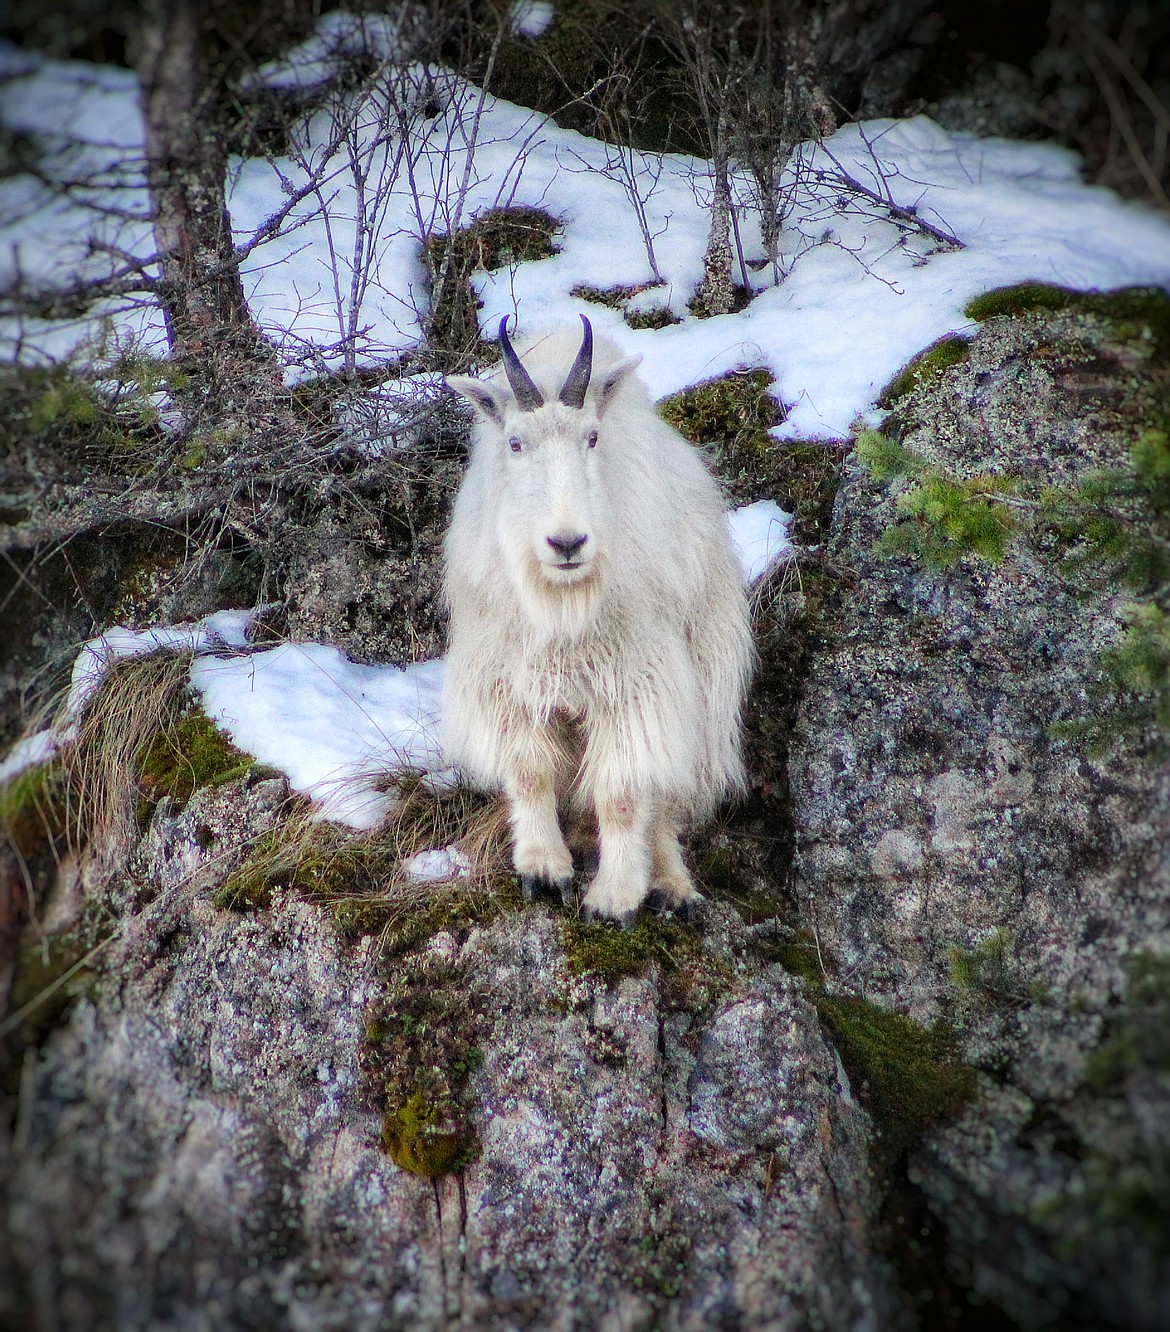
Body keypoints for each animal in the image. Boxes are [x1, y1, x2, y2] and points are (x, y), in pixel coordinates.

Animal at [445, 318, 756, 927]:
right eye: (515, 443)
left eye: (591, 437)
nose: (567, 543)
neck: (563, 604)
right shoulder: (510, 681)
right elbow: (531, 772)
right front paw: (544, 870)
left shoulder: (635, 684)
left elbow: (623, 794)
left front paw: (613, 898)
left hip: (705, 684)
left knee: (668, 799)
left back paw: (671, 886)